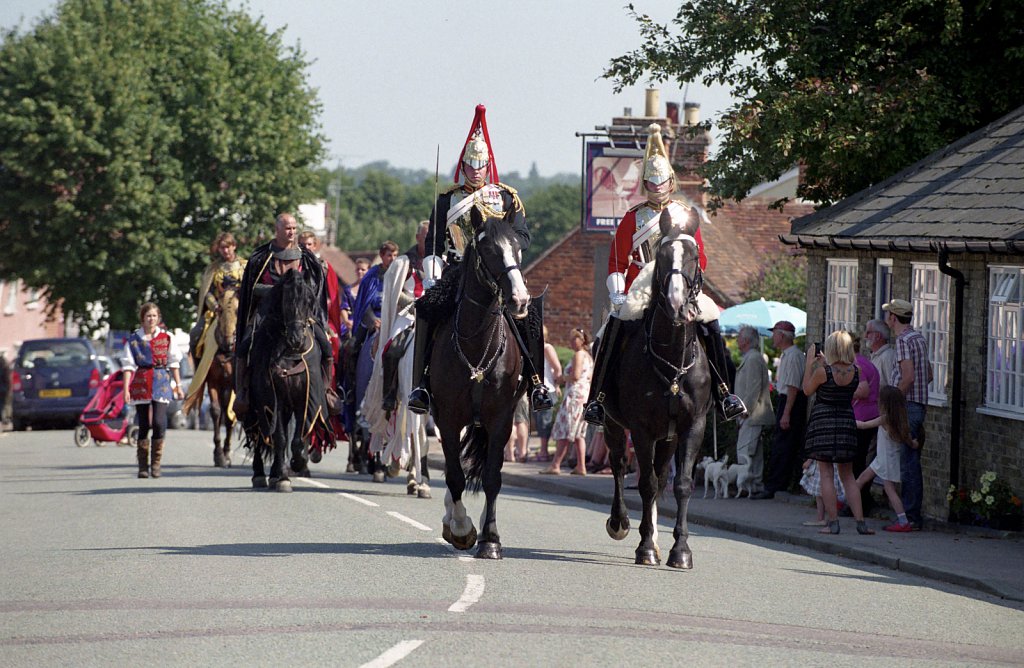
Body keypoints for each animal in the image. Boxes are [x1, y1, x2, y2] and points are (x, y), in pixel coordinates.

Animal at [243, 266, 331, 489]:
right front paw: (283, 478)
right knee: (259, 436)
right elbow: (280, 438)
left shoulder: (304, 399)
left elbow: (298, 439)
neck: (290, 355)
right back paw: (261, 474)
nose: (296, 339)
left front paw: (297, 463)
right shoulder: (274, 400)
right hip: (257, 405)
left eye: (308, 300)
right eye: (286, 300)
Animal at [430, 206, 528, 557]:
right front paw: (460, 528)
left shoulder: (501, 418)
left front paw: (490, 539)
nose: (520, 299)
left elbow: (492, 478)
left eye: (518, 247)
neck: (477, 342)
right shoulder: (446, 418)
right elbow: (455, 476)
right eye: (488, 249)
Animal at [602, 210, 708, 569]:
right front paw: (645, 546)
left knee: (662, 478)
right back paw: (620, 523)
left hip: (669, 437)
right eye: (661, 257)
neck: (672, 360)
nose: (677, 304)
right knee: (620, 464)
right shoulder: (642, 429)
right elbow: (645, 483)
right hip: (612, 424)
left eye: (693, 256)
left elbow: (682, 484)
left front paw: (680, 550)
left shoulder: (692, 427)